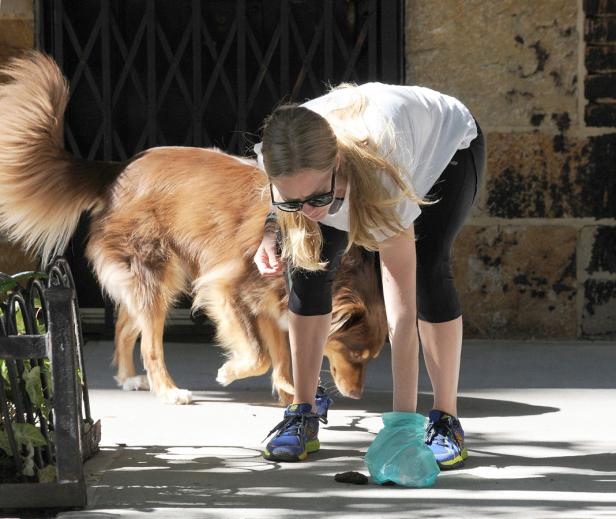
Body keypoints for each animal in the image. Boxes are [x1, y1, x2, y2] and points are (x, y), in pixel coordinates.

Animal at [0, 49, 384, 406]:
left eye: (371, 357)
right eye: (355, 353)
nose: (355, 395)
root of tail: (119, 170)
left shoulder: (269, 302)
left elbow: (282, 361)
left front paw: (292, 399)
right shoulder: (227, 287)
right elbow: (258, 355)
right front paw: (232, 372)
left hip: (153, 276)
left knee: (125, 326)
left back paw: (128, 378)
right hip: (153, 271)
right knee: (149, 343)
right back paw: (168, 391)